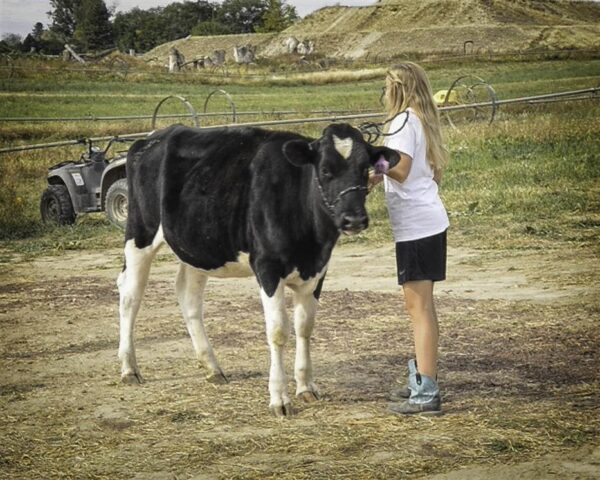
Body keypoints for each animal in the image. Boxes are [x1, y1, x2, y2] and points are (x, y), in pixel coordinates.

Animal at [117, 124, 398, 416]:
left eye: (364, 168)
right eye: (325, 170)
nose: (354, 219)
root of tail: (154, 136)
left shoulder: (317, 271)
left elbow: (305, 327)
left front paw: (306, 387)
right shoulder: (267, 267)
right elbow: (278, 331)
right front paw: (279, 398)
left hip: (197, 245)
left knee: (188, 296)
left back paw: (212, 367)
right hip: (140, 234)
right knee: (129, 296)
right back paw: (129, 368)